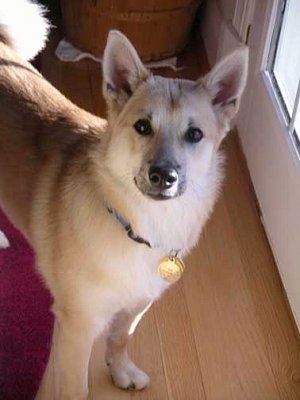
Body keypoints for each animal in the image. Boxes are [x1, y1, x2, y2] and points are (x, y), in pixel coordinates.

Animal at [0, 1, 248, 398]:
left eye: (195, 134)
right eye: (143, 127)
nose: (163, 176)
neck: (140, 224)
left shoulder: (138, 303)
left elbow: (120, 339)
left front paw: (120, 372)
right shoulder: (78, 326)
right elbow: (75, 387)